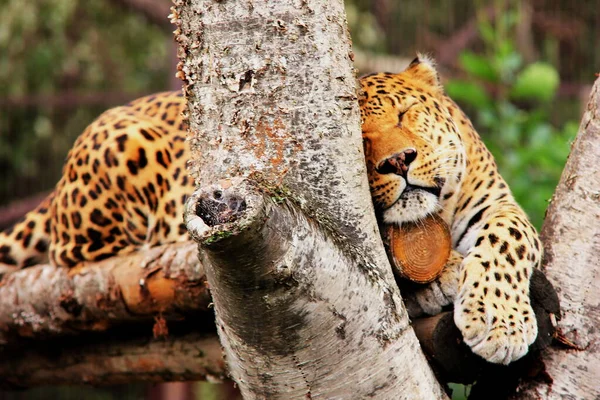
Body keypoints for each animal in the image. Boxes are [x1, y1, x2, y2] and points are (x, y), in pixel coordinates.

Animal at [0, 55, 540, 366]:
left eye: (406, 115)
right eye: (359, 142)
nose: (398, 161)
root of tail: (56, 189)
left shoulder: (496, 202)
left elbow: (511, 239)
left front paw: (500, 320)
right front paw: (446, 276)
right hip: (121, 146)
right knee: (85, 256)